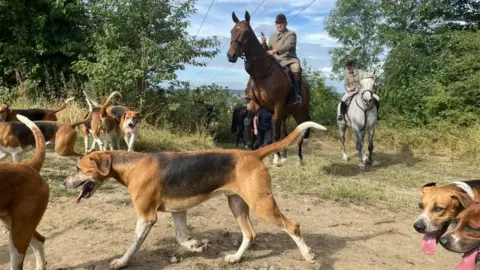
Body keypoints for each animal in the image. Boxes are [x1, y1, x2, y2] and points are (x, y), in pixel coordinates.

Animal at [63, 121, 326, 268]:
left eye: (79, 168)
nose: (65, 182)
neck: (132, 165)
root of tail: (253, 153)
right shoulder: (178, 211)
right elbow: (181, 238)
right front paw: (196, 246)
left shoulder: (146, 217)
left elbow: (133, 245)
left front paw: (120, 263)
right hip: (237, 205)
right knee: (250, 234)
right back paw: (235, 258)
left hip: (262, 204)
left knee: (292, 226)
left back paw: (309, 256)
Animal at [228, 10, 314, 165]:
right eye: (232, 31)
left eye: (245, 32)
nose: (231, 55)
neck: (262, 73)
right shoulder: (255, 103)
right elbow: (248, 122)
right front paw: (250, 146)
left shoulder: (277, 106)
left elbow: (275, 133)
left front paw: (275, 157)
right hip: (286, 114)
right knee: (286, 134)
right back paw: (285, 156)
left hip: (300, 112)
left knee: (300, 130)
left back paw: (299, 158)